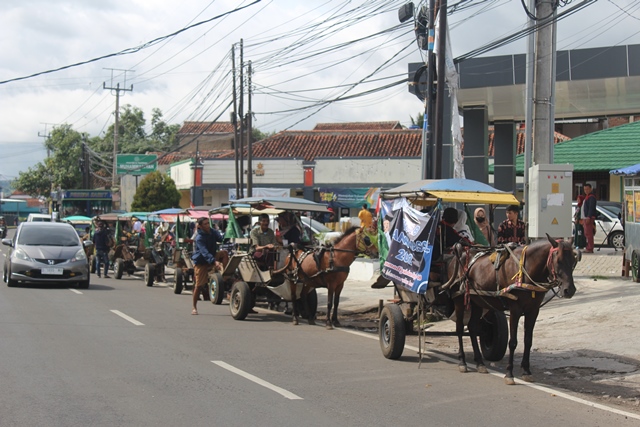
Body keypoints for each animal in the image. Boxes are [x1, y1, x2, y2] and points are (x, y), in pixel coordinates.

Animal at [448, 236, 576, 386]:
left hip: (477, 302)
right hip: (459, 300)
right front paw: (509, 373)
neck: (526, 270)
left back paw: (480, 363)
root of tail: (459, 255)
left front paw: (526, 371)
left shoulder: (533, 311)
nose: (569, 290)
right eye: (558, 261)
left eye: (574, 261)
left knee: (473, 328)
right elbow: (513, 342)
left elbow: (528, 340)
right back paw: (462, 361)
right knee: (459, 329)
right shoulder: (515, 310)